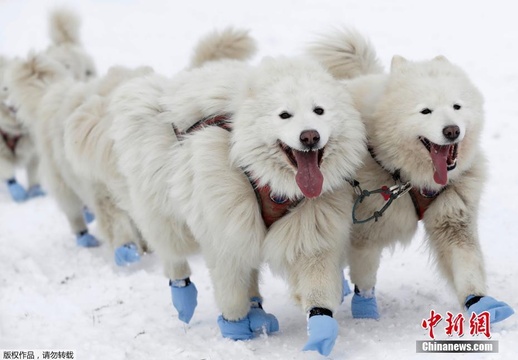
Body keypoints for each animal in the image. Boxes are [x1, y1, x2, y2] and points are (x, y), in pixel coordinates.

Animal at [308, 28, 516, 324]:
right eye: (425, 111)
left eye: (457, 106)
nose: (452, 130)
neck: (411, 179)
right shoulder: (365, 230)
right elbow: (365, 274)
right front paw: (366, 311)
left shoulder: (453, 216)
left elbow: (467, 265)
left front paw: (481, 304)